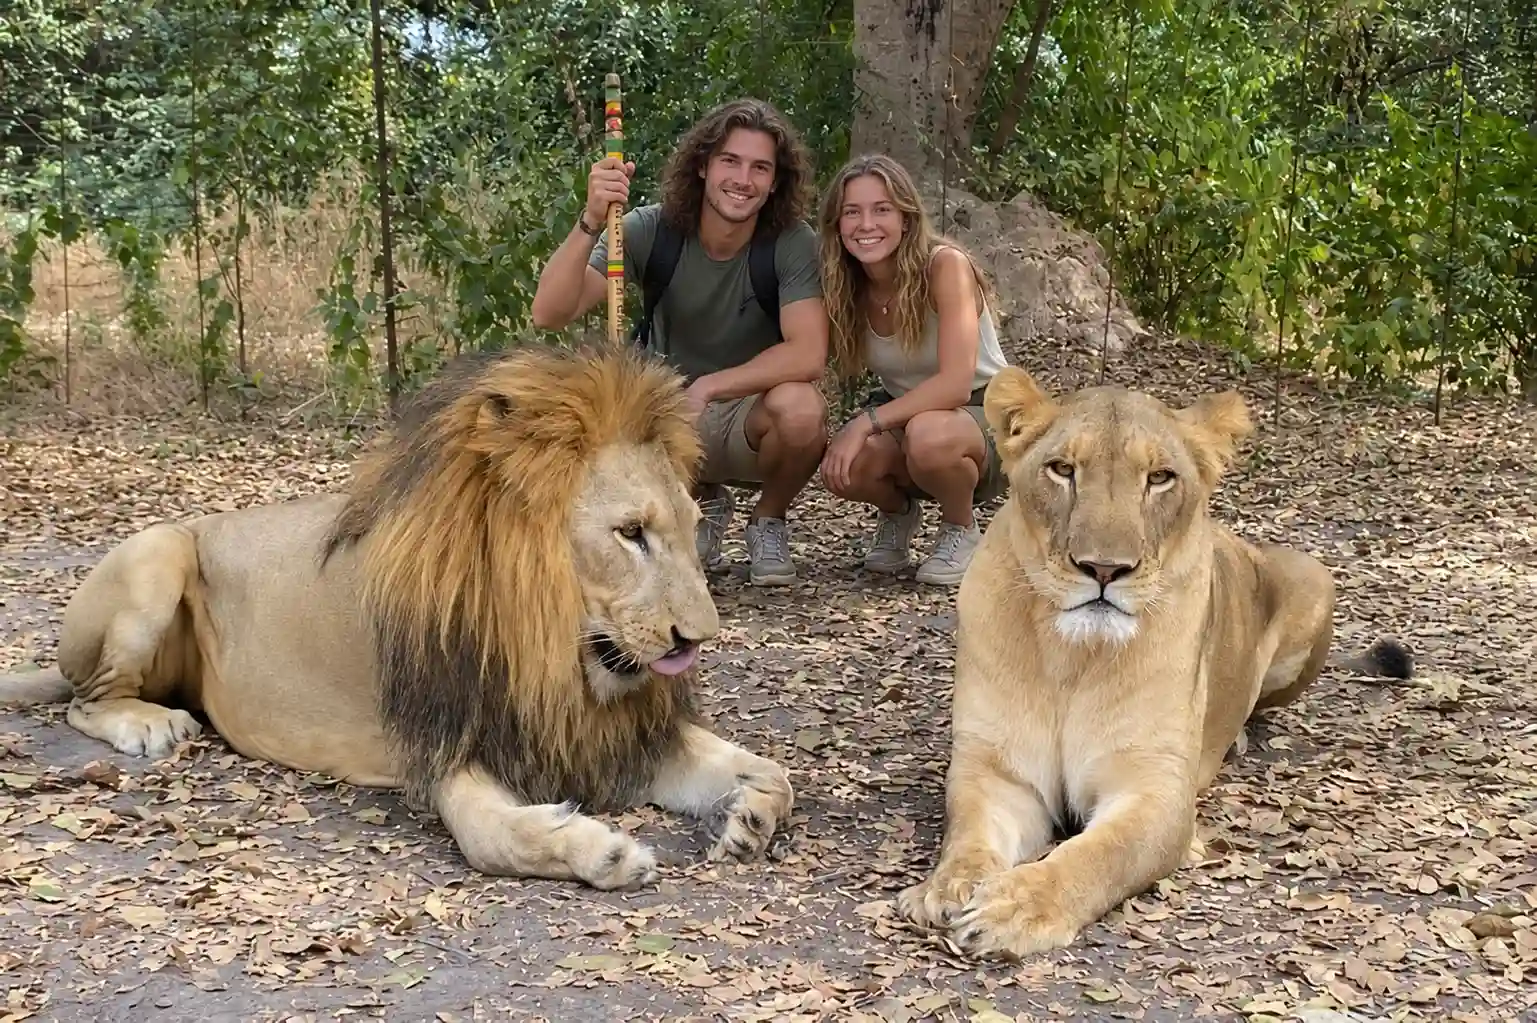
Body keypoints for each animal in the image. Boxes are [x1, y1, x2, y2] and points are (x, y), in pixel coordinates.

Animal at [0, 343, 794, 891]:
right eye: (630, 533)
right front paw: (604, 849)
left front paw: (747, 816)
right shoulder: (447, 746)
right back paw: (148, 723)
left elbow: (776, 774)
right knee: (84, 700)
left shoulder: (606, 734)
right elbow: (495, 839)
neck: (554, 656)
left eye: (694, 525)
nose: (699, 638)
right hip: (159, 547)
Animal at [895, 367, 1412, 960]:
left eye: (1160, 478)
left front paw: (1014, 907)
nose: (1103, 569)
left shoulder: (1157, 790)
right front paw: (946, 888)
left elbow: (1097, 856)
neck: (1073, 658)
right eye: (1062, 470)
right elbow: (968, 834)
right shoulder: (997, 771)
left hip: (1316, 581)